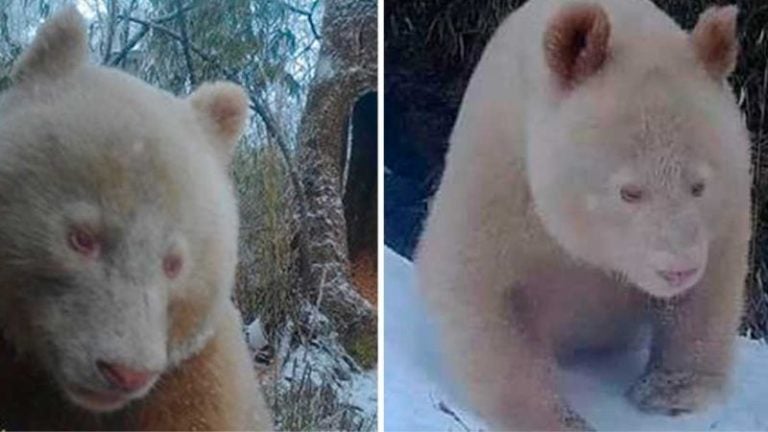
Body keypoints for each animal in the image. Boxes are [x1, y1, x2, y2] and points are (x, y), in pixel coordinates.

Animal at [416, 0, 752, 428]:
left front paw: (670, 392)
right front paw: (554, 418)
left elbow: (710, 287)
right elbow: (480, 286)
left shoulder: (726, 201)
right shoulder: (499, 169)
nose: (679, 270)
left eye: (699, 186)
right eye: (629, 192)